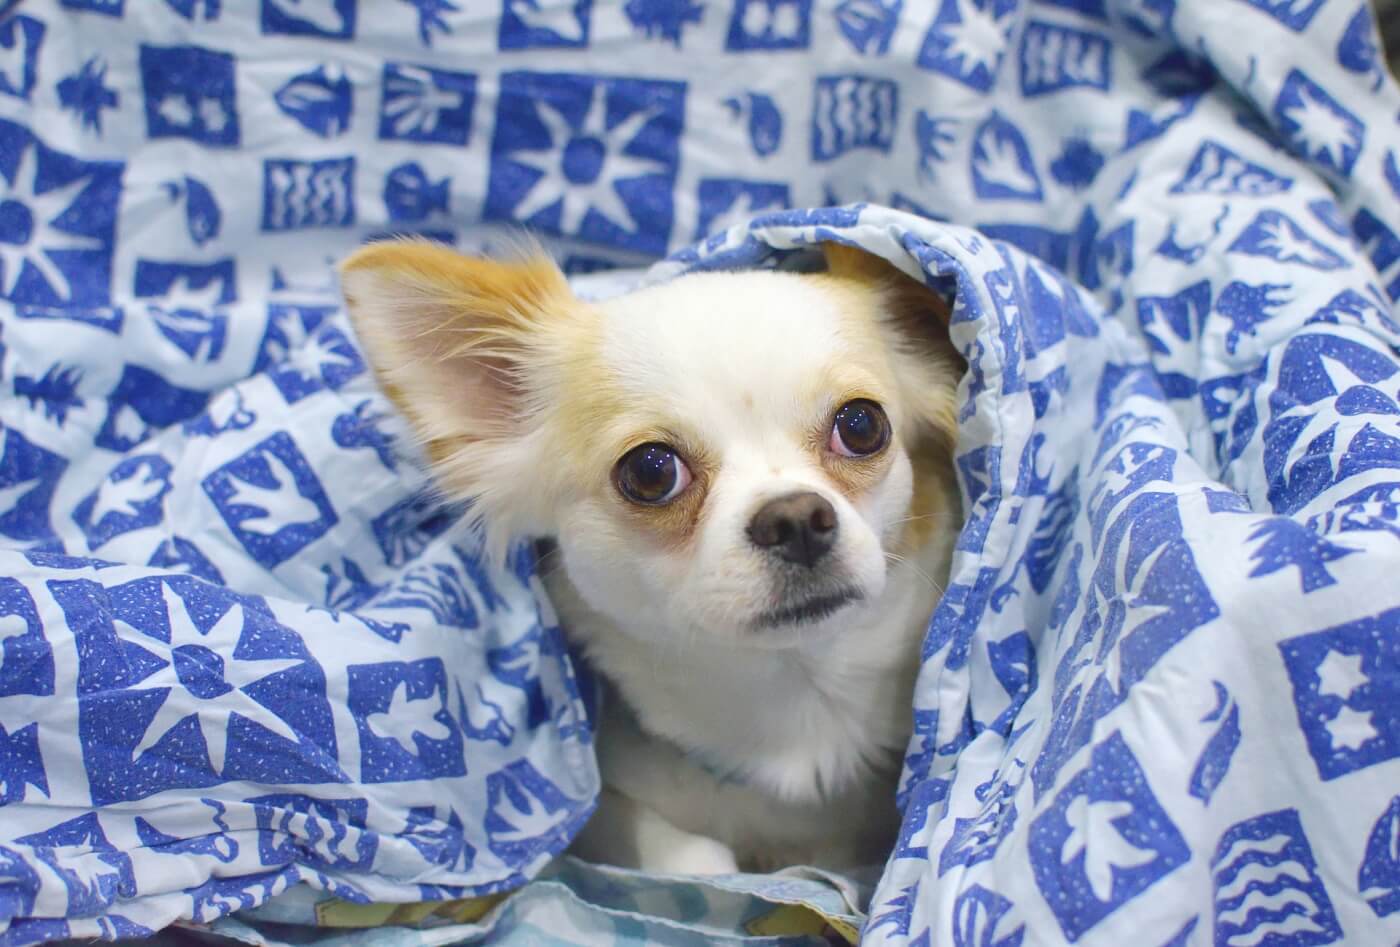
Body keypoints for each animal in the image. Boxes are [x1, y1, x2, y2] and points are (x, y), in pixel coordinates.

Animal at [340, 240, 968, 874]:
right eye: (650, 471)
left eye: (862, 425)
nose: (794, 519)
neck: (796, 713)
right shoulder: (602, 813)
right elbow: (689, 854)